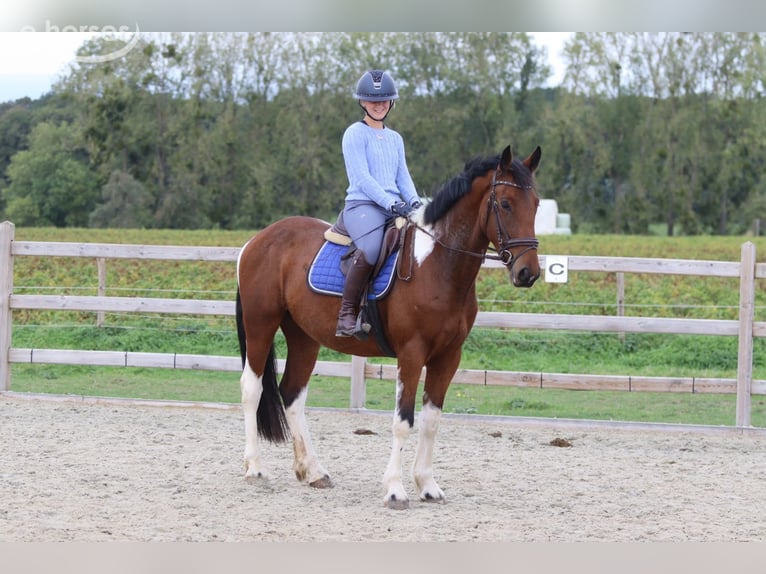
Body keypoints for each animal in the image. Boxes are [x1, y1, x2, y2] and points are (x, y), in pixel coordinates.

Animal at [235, 144, 541, 509]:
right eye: (506, 203)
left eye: (536, 204)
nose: (528, 273)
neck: (437, 266)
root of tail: (257, 240)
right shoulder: (411, 354)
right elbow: (403, 421)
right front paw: (395, 489)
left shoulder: (448, 357)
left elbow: (431, 420)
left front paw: (428, 485)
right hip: (261, 325)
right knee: (252, 389)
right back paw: (255, 469)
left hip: (304, 337)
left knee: (293, 393)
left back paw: (312, 471)